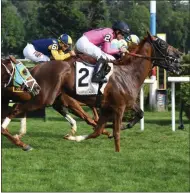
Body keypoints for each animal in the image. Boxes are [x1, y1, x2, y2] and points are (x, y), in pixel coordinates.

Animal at [1, 32, 183, 152]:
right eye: (163, 44)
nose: (179, 57)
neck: (128, 72)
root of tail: (35, 68)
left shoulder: (121, 105)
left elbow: (136, 116)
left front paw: (78, 136)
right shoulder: (119, 106)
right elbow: (110, 129)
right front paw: (114, 140)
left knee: (18, 107)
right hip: (44, 97)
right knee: (16, 109)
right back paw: (18, 139)